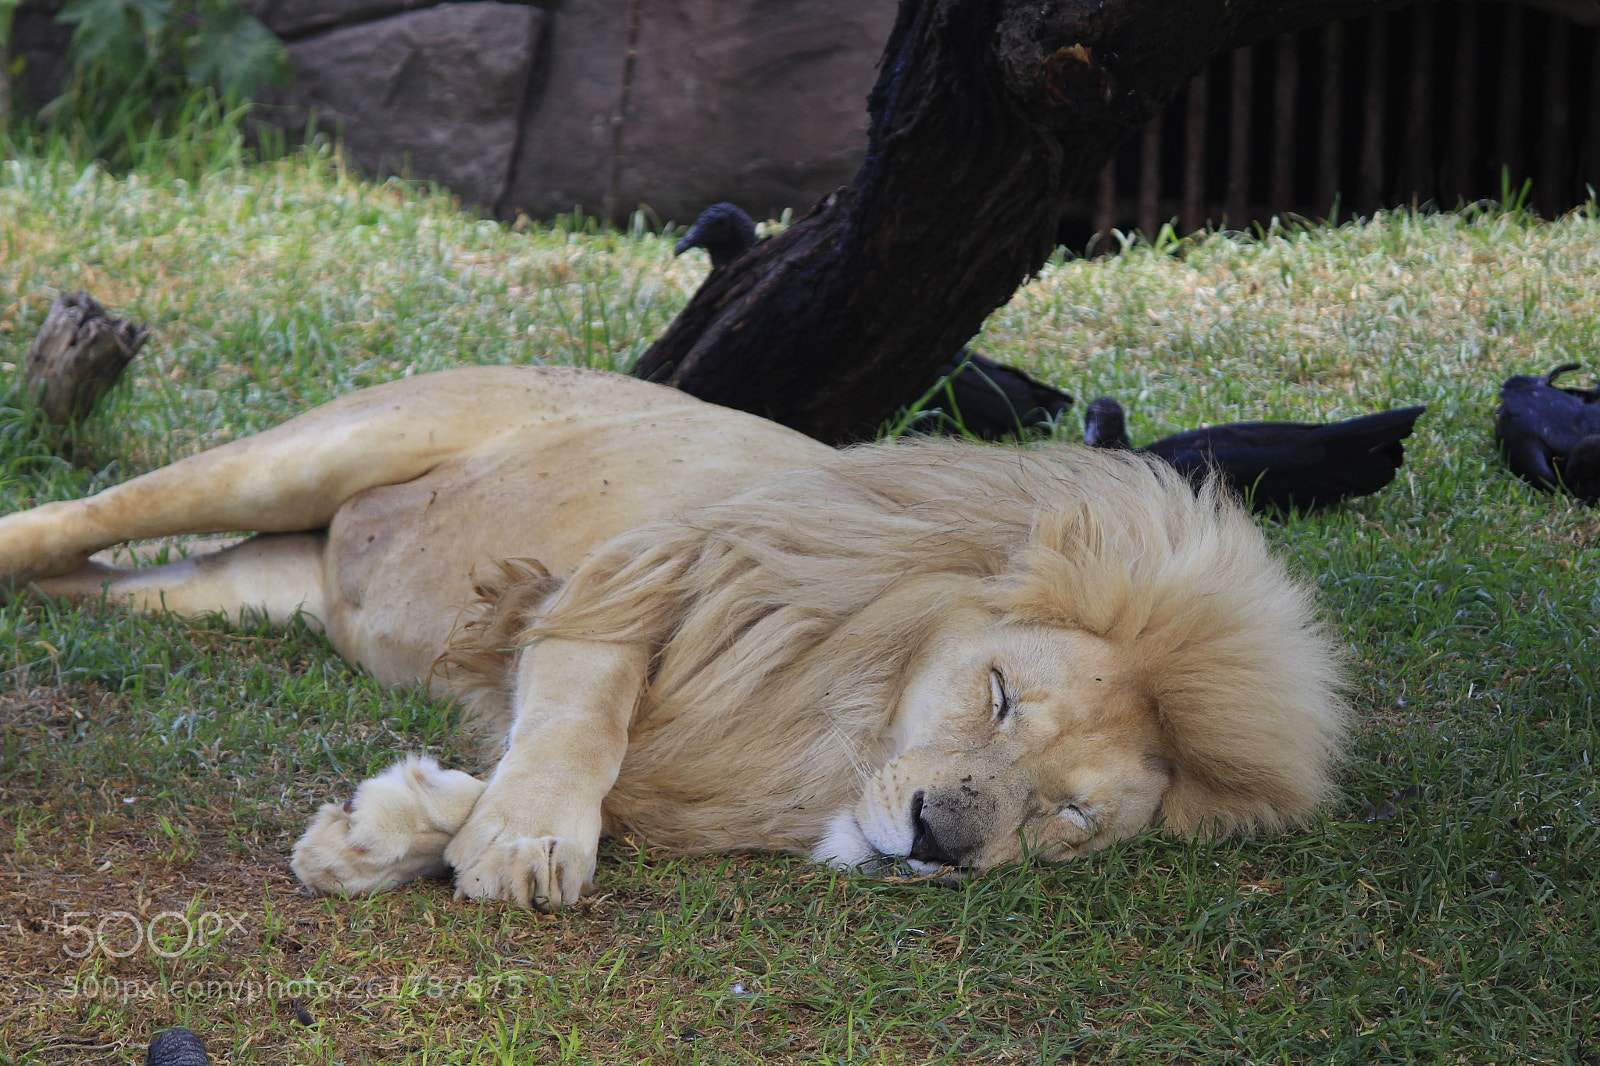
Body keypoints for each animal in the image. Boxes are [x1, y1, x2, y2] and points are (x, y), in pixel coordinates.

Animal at [0, 365, 1347, 910]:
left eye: (1066, 819)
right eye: (1001, 694)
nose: (938, 842)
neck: (837, 716)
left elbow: (583, 775)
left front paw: (387, 829)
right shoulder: (631, 577)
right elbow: (580, 725)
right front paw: (520, 844)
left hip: (234, 588)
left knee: (99, 576)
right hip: (309, 453)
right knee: (71, 517)